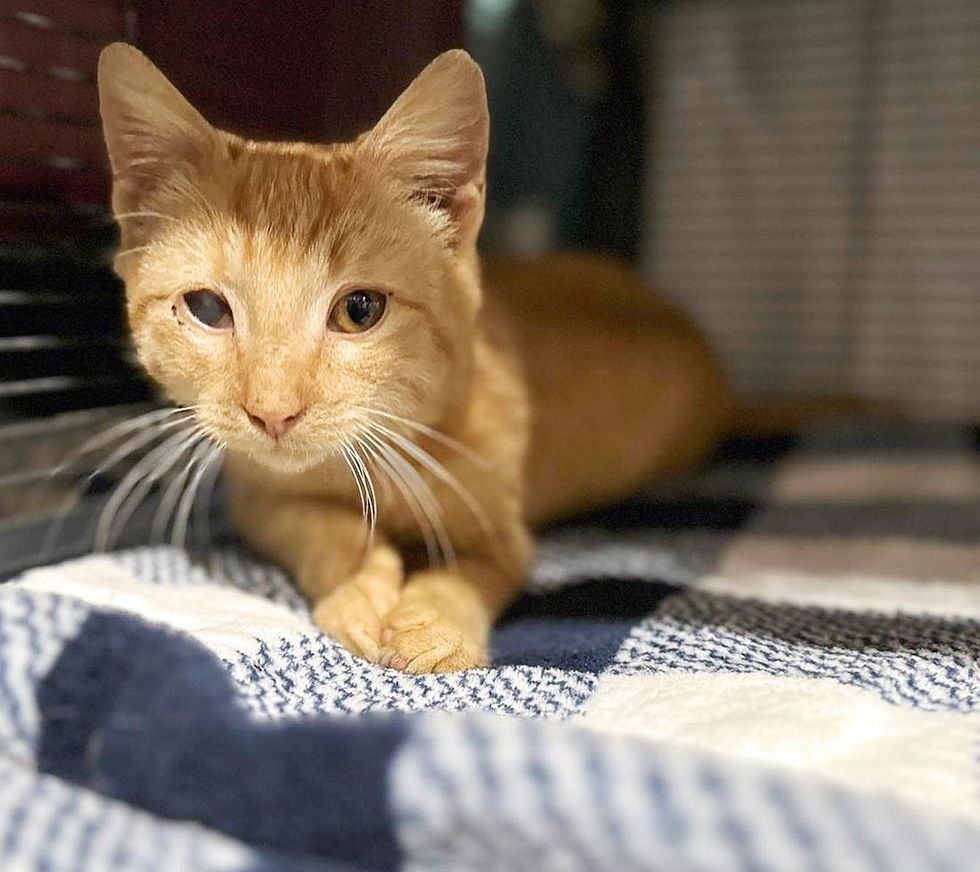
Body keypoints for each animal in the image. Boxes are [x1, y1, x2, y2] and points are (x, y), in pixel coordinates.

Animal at [99, 44, 732, 676]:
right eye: (208, 308)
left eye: (359, 310)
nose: (272, 413)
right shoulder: (261, 498)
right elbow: (325, 527)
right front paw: (359, 590)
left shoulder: (506, 536)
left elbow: (469, 574)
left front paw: (434, 624)